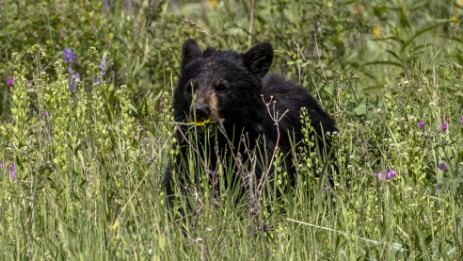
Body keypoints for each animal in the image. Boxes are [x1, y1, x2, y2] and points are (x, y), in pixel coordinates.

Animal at [165, 38, 338, 206]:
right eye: (191, 87)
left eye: (222, 87)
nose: (200, 110)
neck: (223, 142)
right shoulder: (186, 153)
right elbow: (179, 186)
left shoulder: (260, 152)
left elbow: (264, 187)